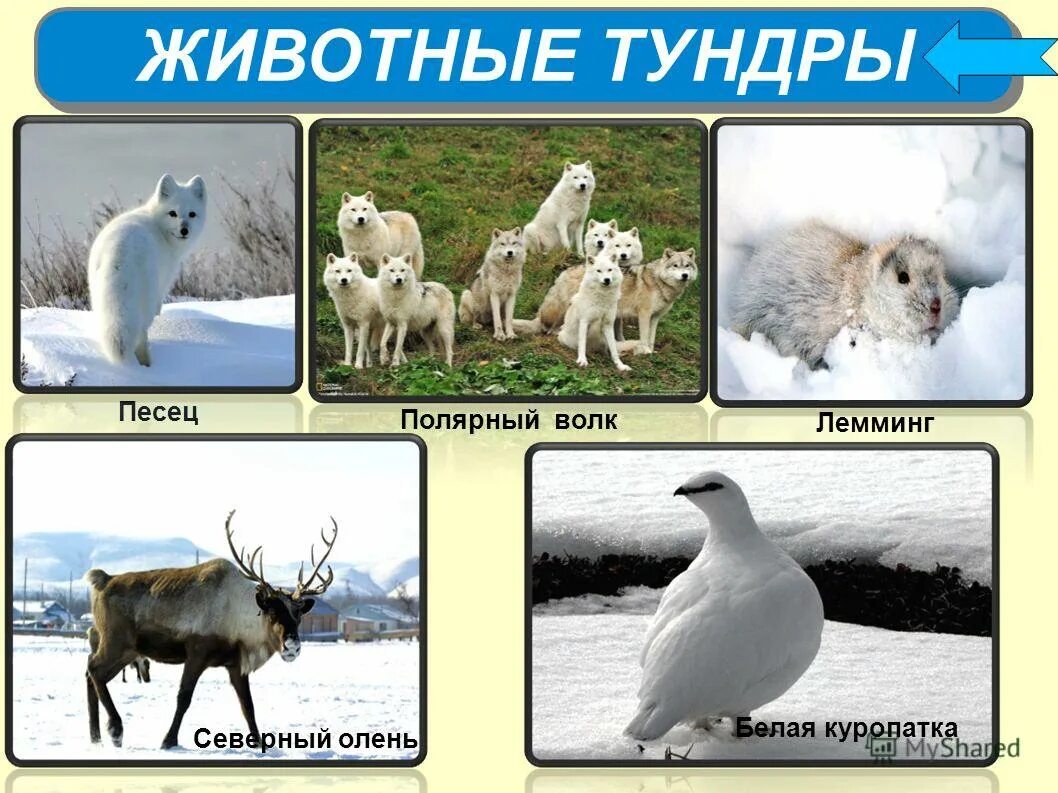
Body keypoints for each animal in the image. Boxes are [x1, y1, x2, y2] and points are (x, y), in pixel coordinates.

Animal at [87, 173, 206, 366]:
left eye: (192, 214)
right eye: (173, 213)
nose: (184, 230)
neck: (158, 225)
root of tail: (120, 252)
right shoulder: (164, 281)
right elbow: (160, 306)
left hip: (97, 294)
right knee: (142, 332)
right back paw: (146, 362)